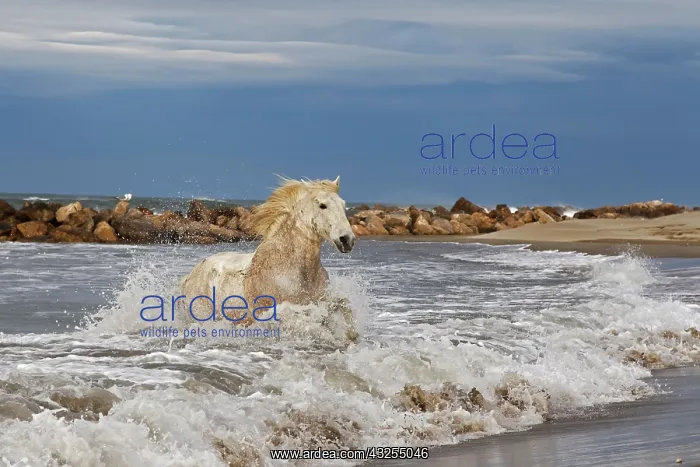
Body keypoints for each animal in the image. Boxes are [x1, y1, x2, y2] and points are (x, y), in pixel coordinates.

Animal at [180, 176, 356, 330]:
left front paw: (351, 335)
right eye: (322, 205)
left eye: (343, 205)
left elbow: (343, 305)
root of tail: (189, 276)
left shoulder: (321, 302)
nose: (347, 240)